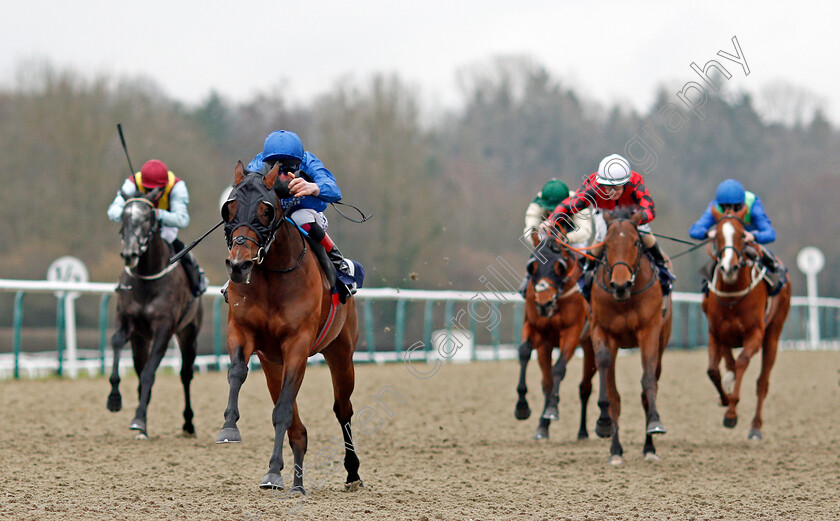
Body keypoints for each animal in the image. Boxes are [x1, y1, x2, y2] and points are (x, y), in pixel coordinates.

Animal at [106, 188, 202, 438]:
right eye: (124, 217)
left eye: (147, 219)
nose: (129, 254)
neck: (147, 277)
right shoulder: (127, 320)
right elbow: (117, 342)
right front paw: (114, 398)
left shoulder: (164, 328)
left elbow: (150, 372)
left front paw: (139, 419)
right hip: (141, 339)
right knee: (140, 368)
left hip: (189, 333)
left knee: (185, 374)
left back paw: (188, 423)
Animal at [217, 161, 360, 492]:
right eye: (229, 208)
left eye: (266, 210)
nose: (239, 265)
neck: (271, 273)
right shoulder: (242, 331)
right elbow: (237, 373)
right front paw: (229, 427)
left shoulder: (297, 343)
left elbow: (281, 411)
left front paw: (272, 471)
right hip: (273, 365)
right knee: (299, 427)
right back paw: (293, 480)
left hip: (341, 352)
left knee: (342, 409)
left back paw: (352, 473)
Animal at [512, 240, 596, 438]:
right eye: (532, 266)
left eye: (560, 267)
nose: (544, 302)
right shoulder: (537, 332)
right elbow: (525, 353)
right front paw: (523, 407)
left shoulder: (572, 332)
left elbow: (559, 368)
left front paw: (551, 409)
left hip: (591, 345)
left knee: (586, 387)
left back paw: (590, 428)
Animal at [588, 207, 672, 464]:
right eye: (606, 244)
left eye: (636, 242)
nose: (620, 285)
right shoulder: (602, 331)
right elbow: (607, 376)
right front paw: (604, 423)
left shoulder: (649, 331)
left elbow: (648, 381)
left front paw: (655, 423)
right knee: (615, 394)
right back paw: (616, 449)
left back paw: (649, 448)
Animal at [704, 204, 792, 438]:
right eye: (717, 236)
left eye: (742, 235)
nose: (729, 268)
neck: (732, 297)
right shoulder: (715, 333)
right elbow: (713, 370)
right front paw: (724, 398)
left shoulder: (755, 334)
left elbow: (742, 362)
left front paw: (731, 413)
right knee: (728, 363)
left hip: (773, 334)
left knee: (762, 382)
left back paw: (755, 426)